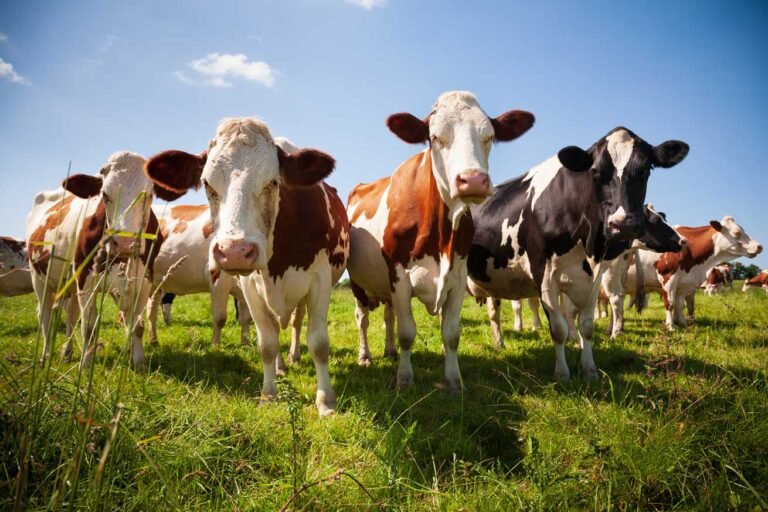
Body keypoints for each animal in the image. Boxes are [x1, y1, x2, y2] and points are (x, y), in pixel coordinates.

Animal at [26, 151, 164, 367]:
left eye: (149, 195)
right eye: (105, 195)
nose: (125, 243)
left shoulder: (144, 281)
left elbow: (136, 326)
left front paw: (139, 362)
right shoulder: (85, 279)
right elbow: (89, 326)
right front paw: (86, 363)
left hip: (69, 284)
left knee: (70, 314)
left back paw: (67, 352)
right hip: (38, 277)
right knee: (46, 316)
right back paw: (46, 355)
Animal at [146, 204, 252, 347]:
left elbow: (246, 318)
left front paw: (246, 345)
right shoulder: (218, 281)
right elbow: (220, 318)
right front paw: (215, 346)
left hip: (155, 283)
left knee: (151, 310)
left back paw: (154, 341)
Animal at [347, 91, 535, 389]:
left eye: (489, 136)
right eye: (435, 137)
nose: (473, 180)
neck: (440, 235)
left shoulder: (457, 279)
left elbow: (451, 334)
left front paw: (454, 381)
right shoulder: (399, 278)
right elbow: (407, 333)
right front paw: (404, 379)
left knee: (388, 316)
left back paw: (389, 351)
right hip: (357, 283)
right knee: (362, 319)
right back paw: (365, 356)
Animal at [467, 127, 690, 380]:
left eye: (645, 170)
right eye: (595, 171)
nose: (622, 224)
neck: (588, 243)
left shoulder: (594, 277)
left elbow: (586, 326)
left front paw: (589, 369)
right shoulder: (545, 276)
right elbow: (559, 328)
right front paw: (562, 373)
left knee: (493, 312)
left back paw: (499, 343)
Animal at [628, 216, 762, 329]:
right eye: (736, 232)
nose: (759, 246)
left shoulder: (683, 282)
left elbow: (680, 305)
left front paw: (683, 324)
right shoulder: (668, 278)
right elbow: (670, 303)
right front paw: (671, 326)